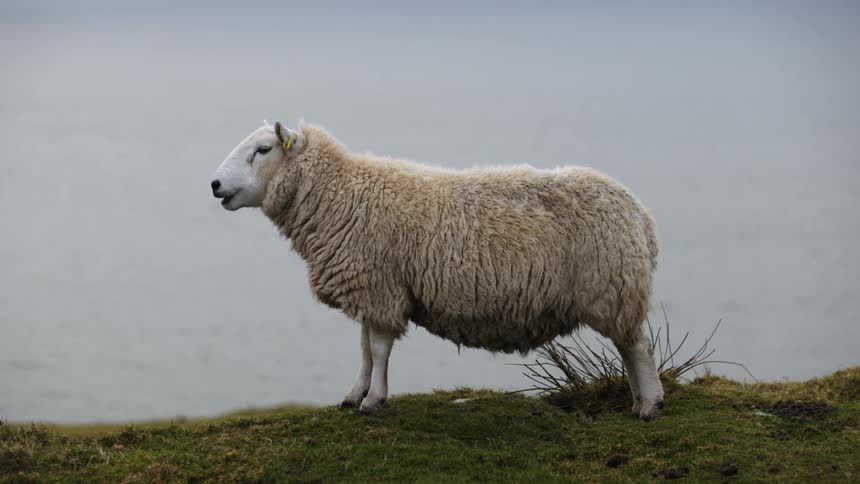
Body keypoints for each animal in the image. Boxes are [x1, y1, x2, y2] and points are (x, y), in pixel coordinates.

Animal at [211, 121, 664, 420]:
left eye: (263, 149)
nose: (214, 184)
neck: (341, 195)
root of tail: (639, 214)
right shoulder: (371, 289)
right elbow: (364, 350)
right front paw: (355, 395)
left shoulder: (382, 287)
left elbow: (379, 350)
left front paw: (374, 400)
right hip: (616, 288)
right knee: (629, 347)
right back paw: (637, 402)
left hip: (613, 287)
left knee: (639, 347)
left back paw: (651, 405)